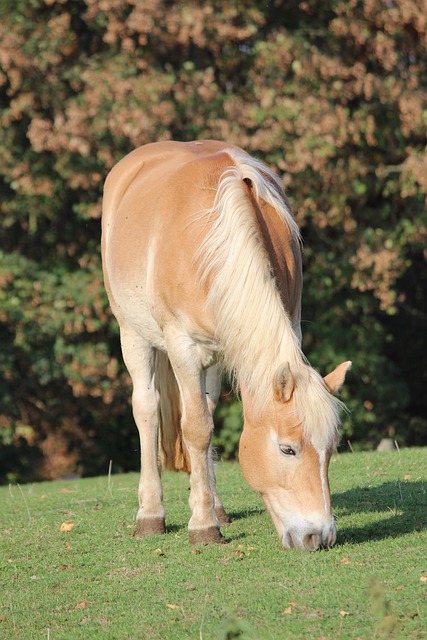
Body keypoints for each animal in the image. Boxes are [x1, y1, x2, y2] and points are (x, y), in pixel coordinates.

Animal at [101, 140, 352, 552]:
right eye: (287, 449)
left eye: (330, 449)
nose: (318, 536)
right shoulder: (182, 347)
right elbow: (196, 429)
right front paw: (203, 526)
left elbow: (206, 425)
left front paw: (209, 512)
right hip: (133, 334)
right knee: (148, 410)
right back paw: (151, 514)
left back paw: (215, 507)